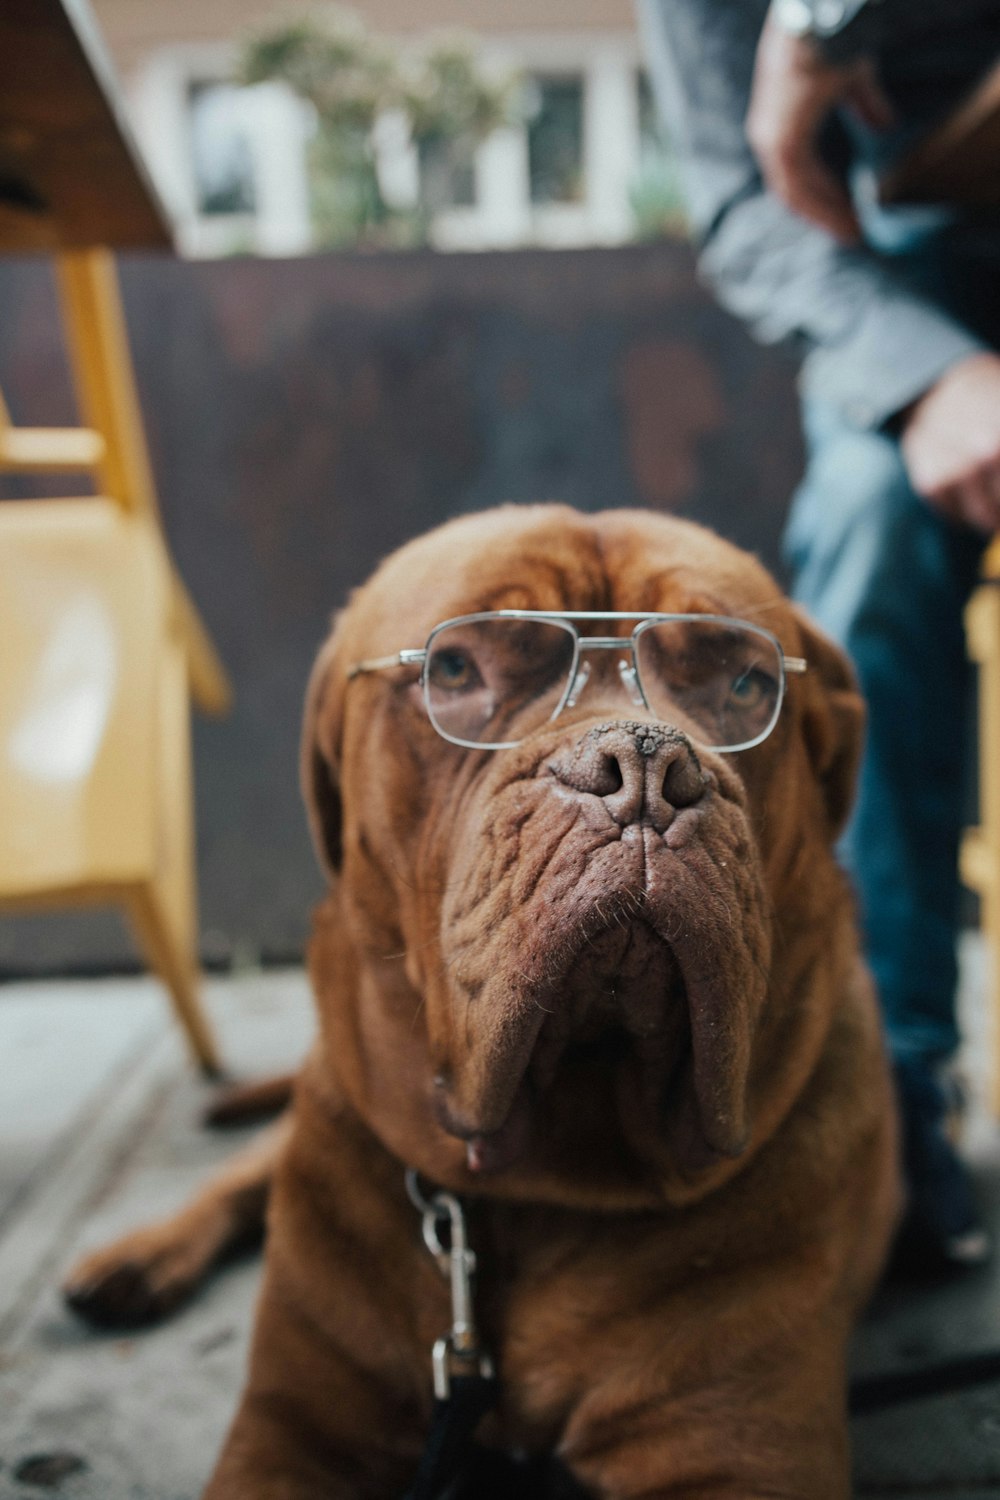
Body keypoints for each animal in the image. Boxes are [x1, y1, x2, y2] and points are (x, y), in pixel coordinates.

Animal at [74, 507, 899, 1500]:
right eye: (459, 670)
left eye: (744, 682)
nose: (645, 765)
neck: (546, 1191)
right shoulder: (291, 1432)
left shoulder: (735, 1452)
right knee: (244, 1174)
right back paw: (136, 1256)